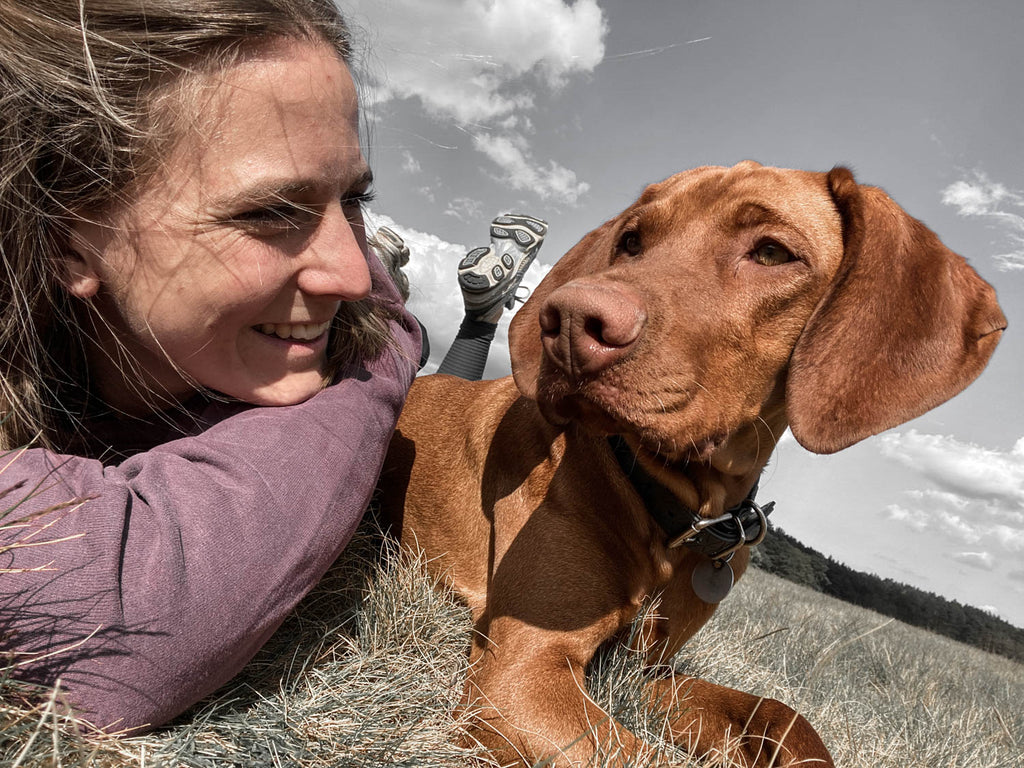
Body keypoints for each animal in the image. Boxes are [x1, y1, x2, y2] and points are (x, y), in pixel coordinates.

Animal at [378, 163, 1007, 768]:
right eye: (631, 241)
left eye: (772, 253)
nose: (570, 321)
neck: (674, 511)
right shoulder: (520, 669)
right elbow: (644, 758)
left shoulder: (645, 673)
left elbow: (784, 716)